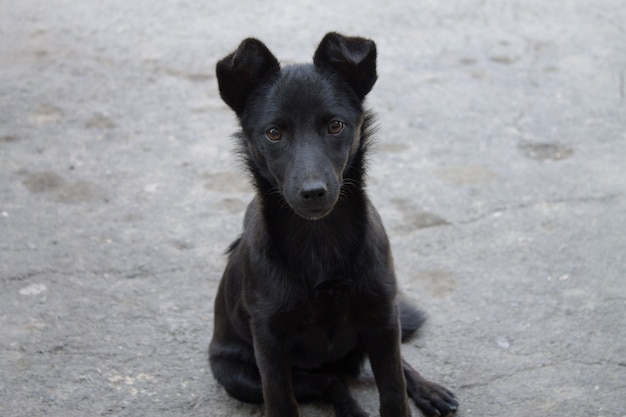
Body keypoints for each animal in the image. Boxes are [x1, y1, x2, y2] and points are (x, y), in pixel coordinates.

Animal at [207, 32, 456, 416]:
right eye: (274, 133)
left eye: (335, 126)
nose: (313, 192)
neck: (319, 239)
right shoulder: (269, 346)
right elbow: (282, 401)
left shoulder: (382, 316)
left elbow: (394, 389)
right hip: (236, 375)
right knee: (328, 381)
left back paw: (427, 389)